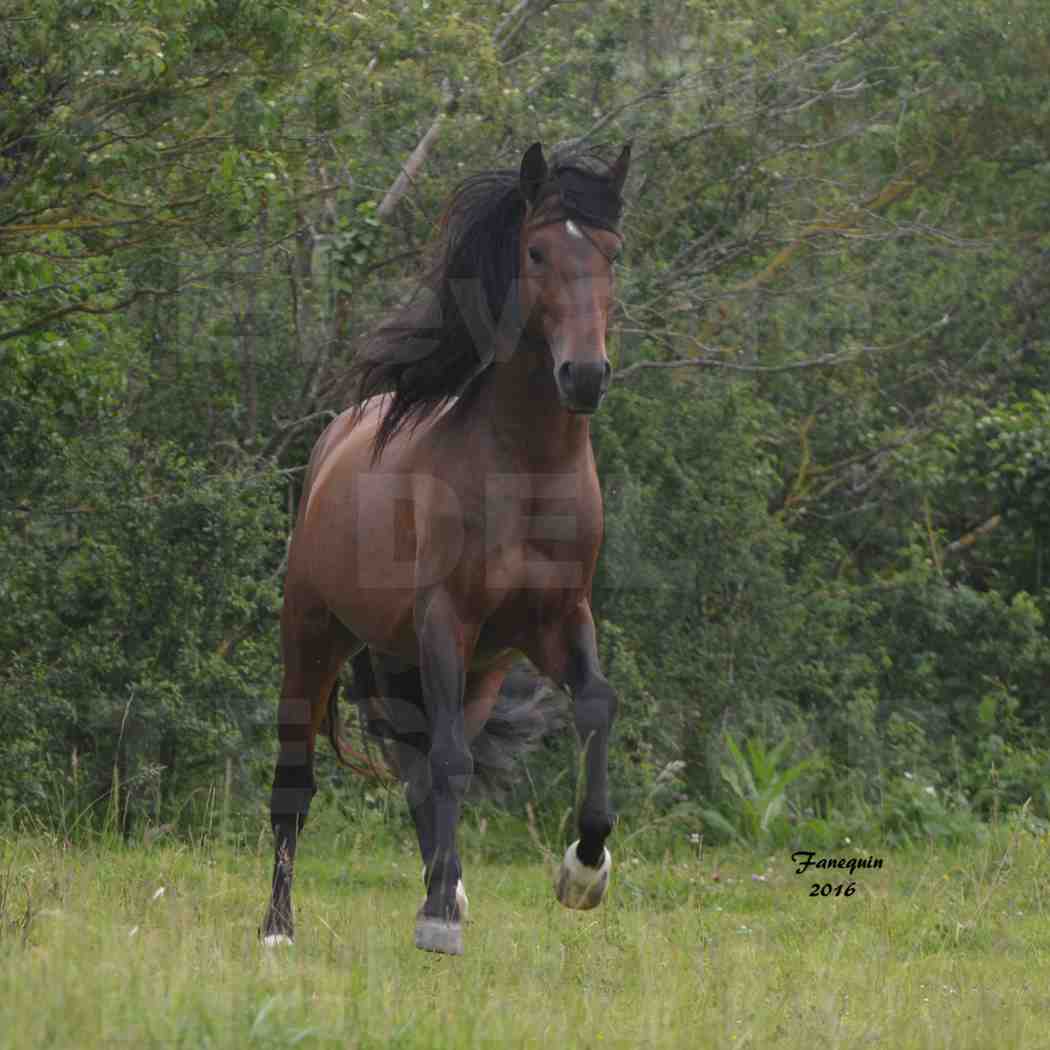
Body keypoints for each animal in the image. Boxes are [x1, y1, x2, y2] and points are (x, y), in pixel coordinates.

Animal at [262, 143, 630, 957]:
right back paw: (278, 930)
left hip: (462, 671)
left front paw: (583, 871)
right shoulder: (445, 621)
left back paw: (449, 889)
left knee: (420, 766)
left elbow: (594, 704)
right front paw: (436, 920)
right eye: (536, 251)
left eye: (612, 254)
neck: (525, 472)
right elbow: (453, 763)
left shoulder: (559, 619)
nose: (585, 376)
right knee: (299, 783)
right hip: (315, 638)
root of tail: (333, 443)